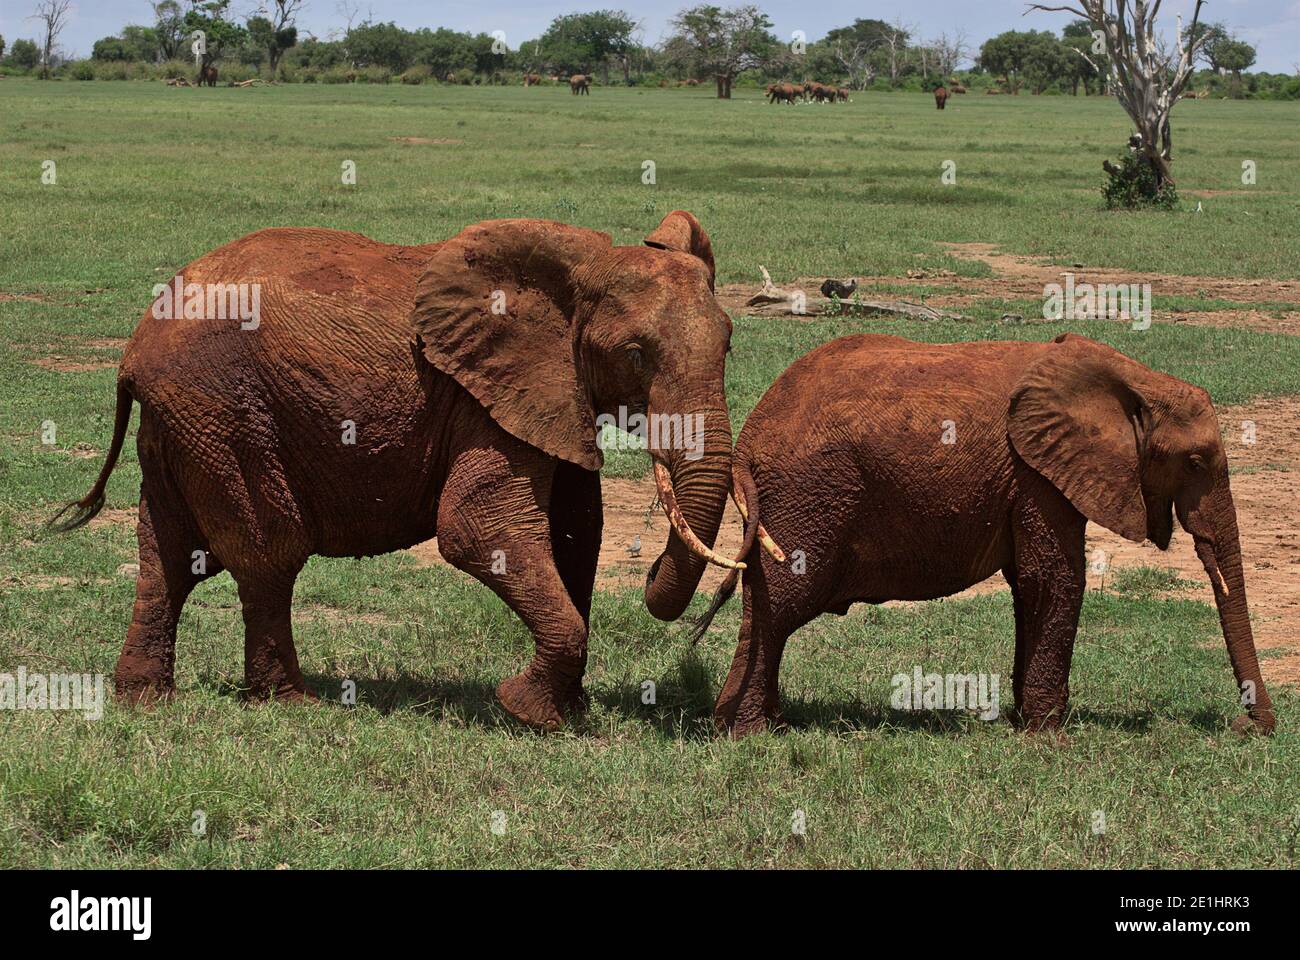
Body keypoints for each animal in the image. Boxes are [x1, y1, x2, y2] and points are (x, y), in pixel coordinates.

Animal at [53, 213, 743, 728]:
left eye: (732, 342)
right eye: (635, 353)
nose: (650, 564)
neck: (583, 268)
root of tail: (132, 350)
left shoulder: (547, 391)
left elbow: (578, 532)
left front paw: (568, 711)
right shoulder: (484, 396)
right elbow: (479, 530)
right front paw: (525, 712)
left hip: (179, 424)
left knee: (166, 557)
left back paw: (145, 701)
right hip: (221, 412)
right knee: (268, 551)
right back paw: (294, 705)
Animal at [696, 333, 1274, 738]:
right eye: (1194, 462)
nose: (1248, 728)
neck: (1132, 378)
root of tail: (749, 437)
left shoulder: (1034, 474)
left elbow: (1030, 585)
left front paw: (1028, 722)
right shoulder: (1037, 473)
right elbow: (1054, 581)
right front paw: (1048, 738)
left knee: (767, 605)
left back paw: (756, 724)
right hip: (810, 491)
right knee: (782, 605)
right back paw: (750, 734)